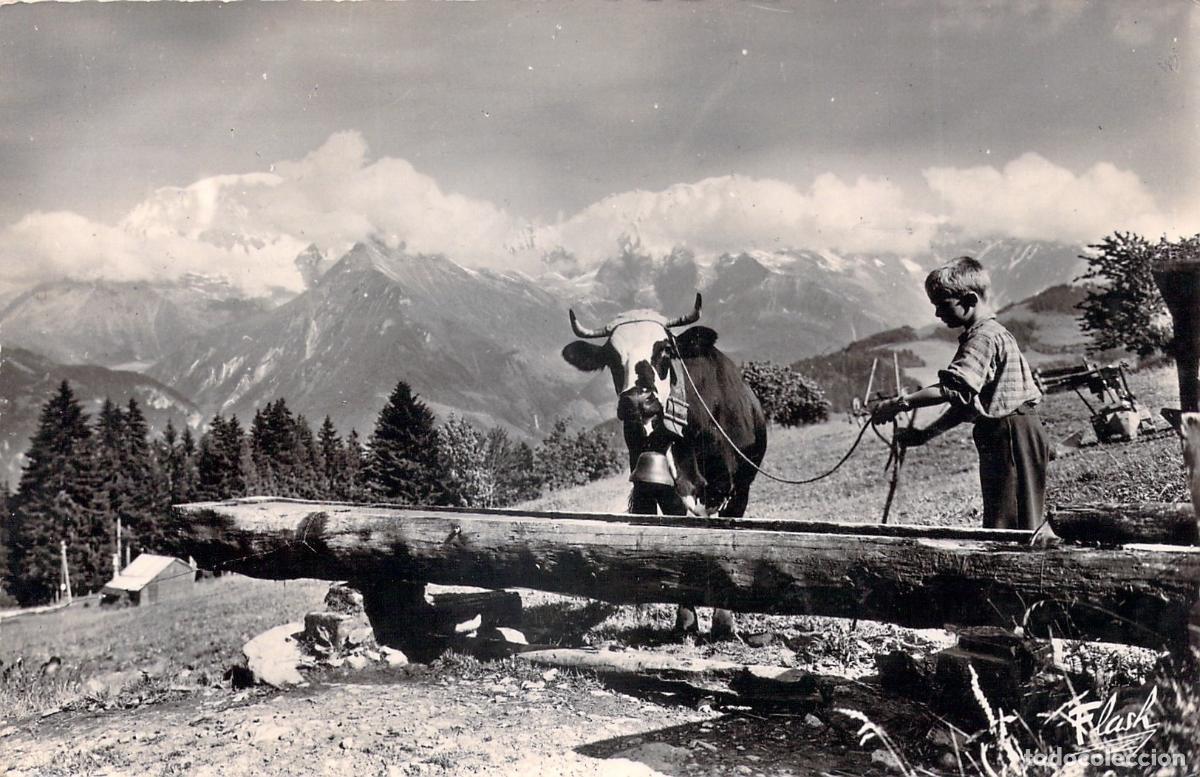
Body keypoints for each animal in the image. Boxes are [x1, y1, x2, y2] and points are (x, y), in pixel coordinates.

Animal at [562, 293, 768, 640]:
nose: (637, 401)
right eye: (610, 358)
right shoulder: (666, 491)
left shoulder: (734, 490)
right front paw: (686, 620)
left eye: (665, 350)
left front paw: (724, 621)